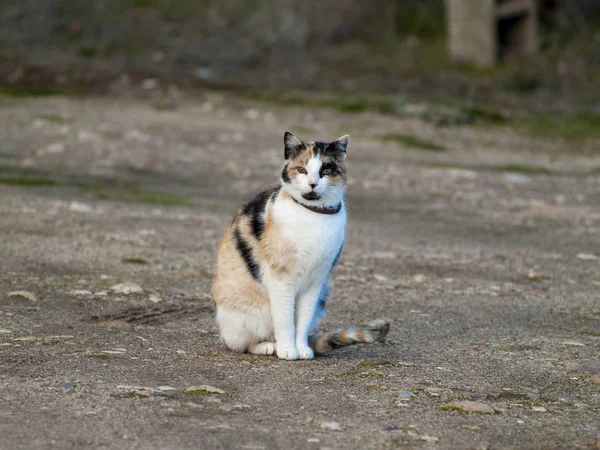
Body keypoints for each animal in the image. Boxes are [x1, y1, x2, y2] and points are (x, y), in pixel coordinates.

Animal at [211, 132, 390, 360]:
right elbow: (286, 319)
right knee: (241, 343)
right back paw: (269, 346)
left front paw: (302, 349)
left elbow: (302, 320)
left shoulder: (316, 280)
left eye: (325, 171)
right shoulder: (282, 279)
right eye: (302, 170)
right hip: (244, 313)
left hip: (323, 295)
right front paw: (288, 350)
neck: (314, 216)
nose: (312, 183)